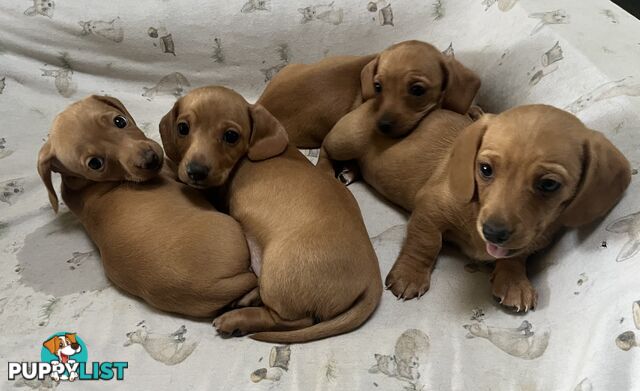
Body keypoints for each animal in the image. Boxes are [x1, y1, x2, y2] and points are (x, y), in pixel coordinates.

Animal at [37, 96, 258, 320]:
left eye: (120, 121)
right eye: (95, 163)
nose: (150, 159)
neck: (85, 184)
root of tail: (209, 288)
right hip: (227, 223)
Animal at [160, 86, 382, 344]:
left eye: (231, 136)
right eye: (182, 128)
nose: (195, 172)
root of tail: (373, 279)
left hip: (278, 272)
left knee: (294, 320)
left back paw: (237, 320)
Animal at [320, 104, 632, 312]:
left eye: (548, 184)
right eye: (485, 169)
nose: (493, 232)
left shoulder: (531, 240)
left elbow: (517, 256)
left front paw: (514, 281)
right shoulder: (429, 209)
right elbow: (426, 243)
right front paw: (410, 275)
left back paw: (349, 171)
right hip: (346, 139)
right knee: (325, 148)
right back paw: (327, 173)